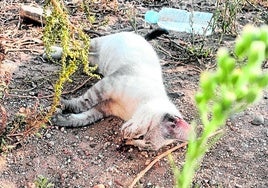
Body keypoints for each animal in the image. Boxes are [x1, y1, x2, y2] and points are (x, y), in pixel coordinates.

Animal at [49, 29, 192, 150]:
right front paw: (62, 104)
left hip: (95, 62)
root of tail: (142, 38)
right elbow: (83, 102)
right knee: (76, 47)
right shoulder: (107, 86)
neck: (131, 110)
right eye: (141, 136)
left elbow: (83, 118)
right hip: (96, 43)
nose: (126, 140)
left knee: (83, 55)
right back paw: (51, 52)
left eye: (143, 145)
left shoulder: (104, 108)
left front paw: (60, 119)